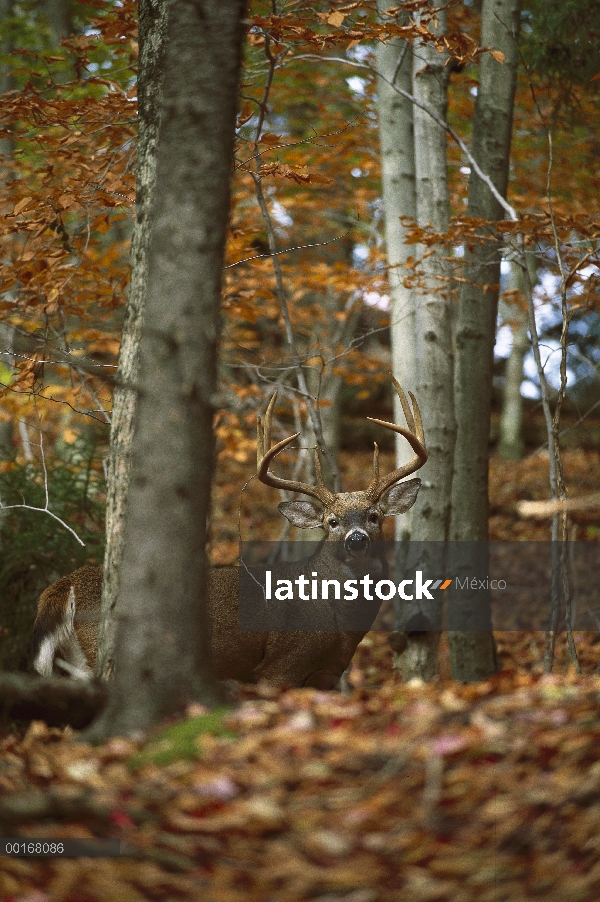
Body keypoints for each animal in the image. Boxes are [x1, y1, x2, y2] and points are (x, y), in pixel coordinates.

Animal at [32, 378, 426, 688]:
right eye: (332, 521)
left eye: (375, 516)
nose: (356, 539)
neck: (338, 624)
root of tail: (63, 585)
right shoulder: (281, 665)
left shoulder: (328, 673)